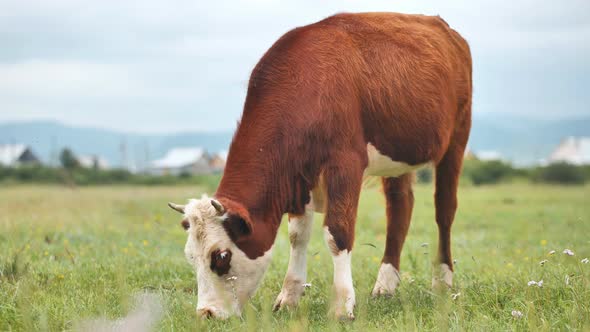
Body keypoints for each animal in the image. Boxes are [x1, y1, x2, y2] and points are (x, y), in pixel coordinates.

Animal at [169, 11, 474, 320]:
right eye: (190, 257)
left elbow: (337, 233)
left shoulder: (346, 164)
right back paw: (385, 285)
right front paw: (288, 298)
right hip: (398, 156)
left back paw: (443, 280)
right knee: (399, 209)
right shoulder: (298, 177)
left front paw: (342, 305)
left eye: (221, 256)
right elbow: (297, 236)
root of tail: (443, 26)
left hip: (457, 138)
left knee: (444, 210)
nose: (206, 313)